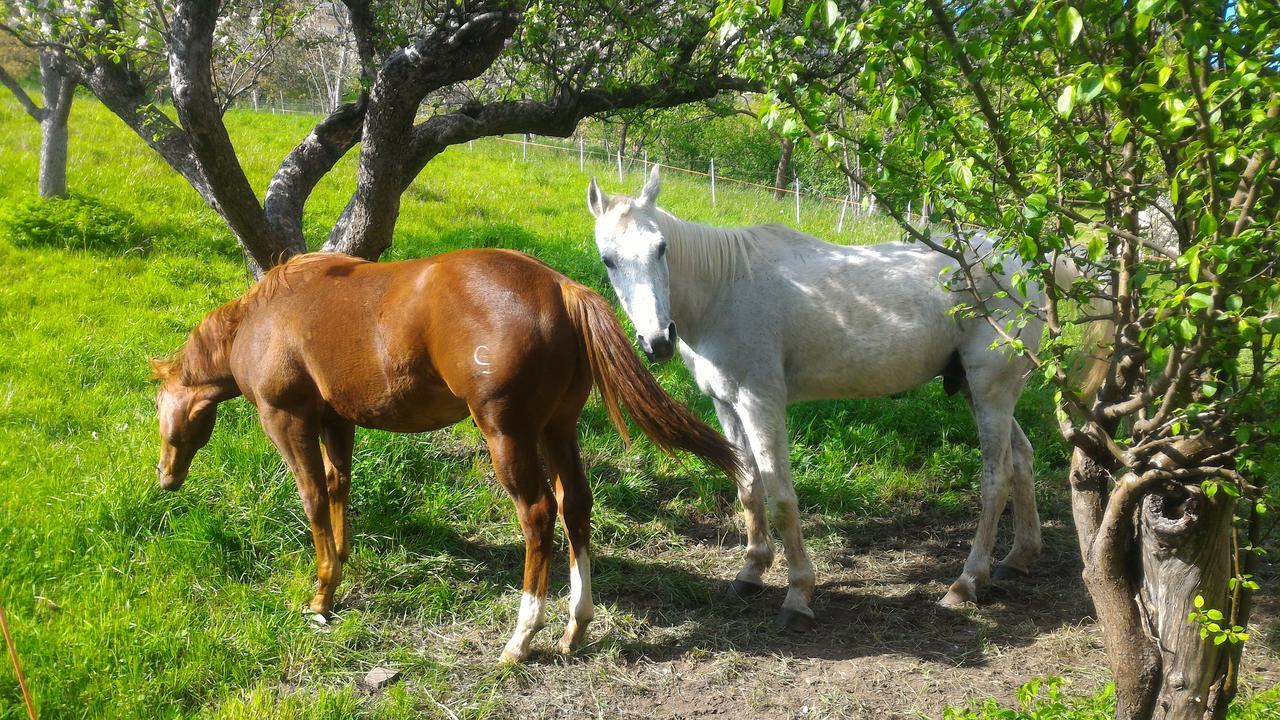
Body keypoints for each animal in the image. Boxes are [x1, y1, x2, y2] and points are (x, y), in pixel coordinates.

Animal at [152, 248, 742, 661]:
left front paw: (321, 595)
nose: (165, 478)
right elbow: (340, 486)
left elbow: (314, 497)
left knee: (538, 515)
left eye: (159, 406)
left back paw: (520, 640)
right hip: (557, 429)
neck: (264, 319)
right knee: (575, 505)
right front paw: (341, 562)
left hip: (508, 437)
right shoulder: (338, 421)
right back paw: (576, 626)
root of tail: (559, 287)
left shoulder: (287, 421)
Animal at [588, 165, 1049, 625]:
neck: (724, 289)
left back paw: (966, 583)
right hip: (978, 389)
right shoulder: (726, 405)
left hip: (991, 391)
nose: (658, 341)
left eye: (662, 248)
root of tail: (1023, 265)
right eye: (608, 259)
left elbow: (781, 497)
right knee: (1022, 459)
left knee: (996, 480)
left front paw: (798, 595)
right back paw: (1018, 558)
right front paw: (751, 571)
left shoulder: (761, 403)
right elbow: (748, 486)